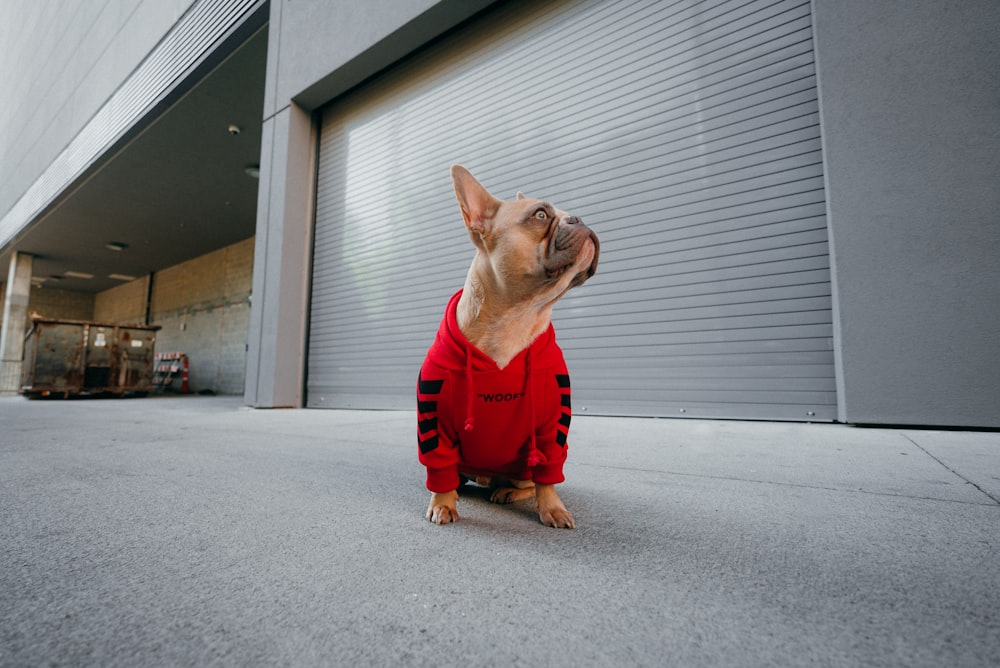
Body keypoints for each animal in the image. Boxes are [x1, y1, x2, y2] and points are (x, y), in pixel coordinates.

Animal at [416, 166, 596, 528]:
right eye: (540, 215)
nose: (579, 217)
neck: (514, 318)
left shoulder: (552, 426)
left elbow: (549, 475)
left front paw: (553, 508)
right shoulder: (434, 420)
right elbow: (439, 467)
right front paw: (442, 503)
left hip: (525, 464)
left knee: (530, 482)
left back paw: (509, 492)